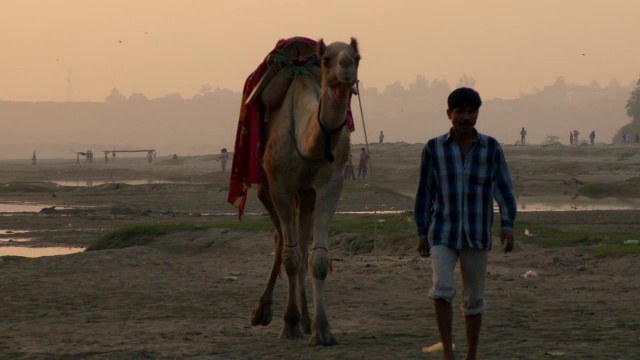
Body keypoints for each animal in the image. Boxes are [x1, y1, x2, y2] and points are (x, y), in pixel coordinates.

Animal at [250, 37, 360, 346]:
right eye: (326, 59)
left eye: (357, 56)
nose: (346, 66)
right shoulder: (281, 185)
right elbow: (291, 257)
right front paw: (288, 324)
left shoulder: (330, 185)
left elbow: (317, 258)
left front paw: (322, 330)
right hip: (266, 187)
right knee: (281, 239)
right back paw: (264, 312)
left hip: (306, 194)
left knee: (299, 240)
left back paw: (306, 319)